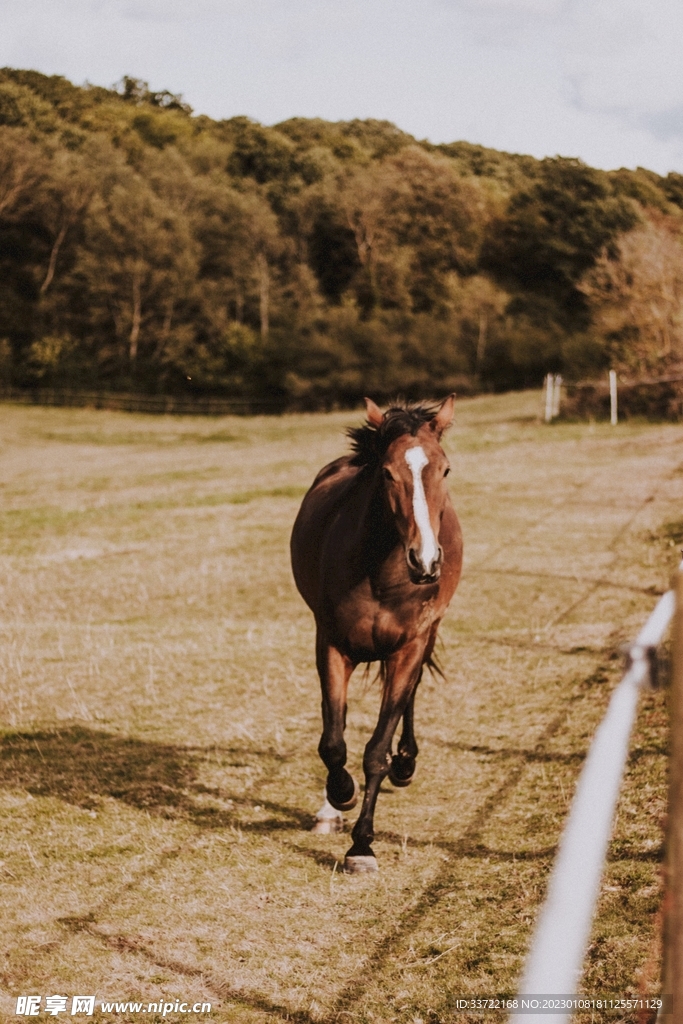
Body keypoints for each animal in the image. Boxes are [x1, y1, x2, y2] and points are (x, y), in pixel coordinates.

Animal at [290, 395, 463, 873]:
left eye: (445, 470)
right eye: (387, 472)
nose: (426, 560)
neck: (381, 574)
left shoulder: (408, 647)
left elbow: (376, 750)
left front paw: (362, 845)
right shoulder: (331, 645)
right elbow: (333, 742)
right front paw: (340, 796)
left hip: (426, 635)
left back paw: (406, 764)